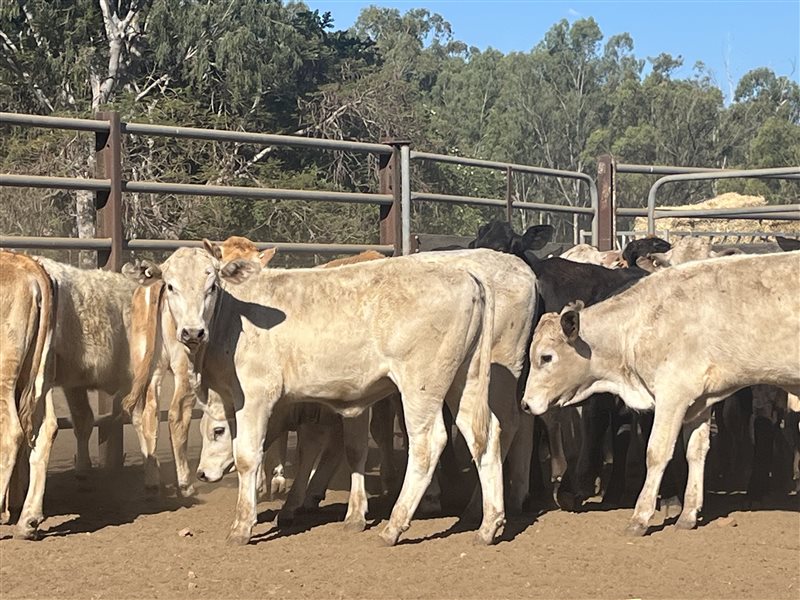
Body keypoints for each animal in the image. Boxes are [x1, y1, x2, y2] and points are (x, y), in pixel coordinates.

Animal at [520, 252, 800, 536]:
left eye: (546, 357)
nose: (526, 404)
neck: (641, 322)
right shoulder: (700, 401)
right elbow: (695, 450)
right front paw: (688, 514)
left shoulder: (672, 394)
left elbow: (656, 452)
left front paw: (640, 518)